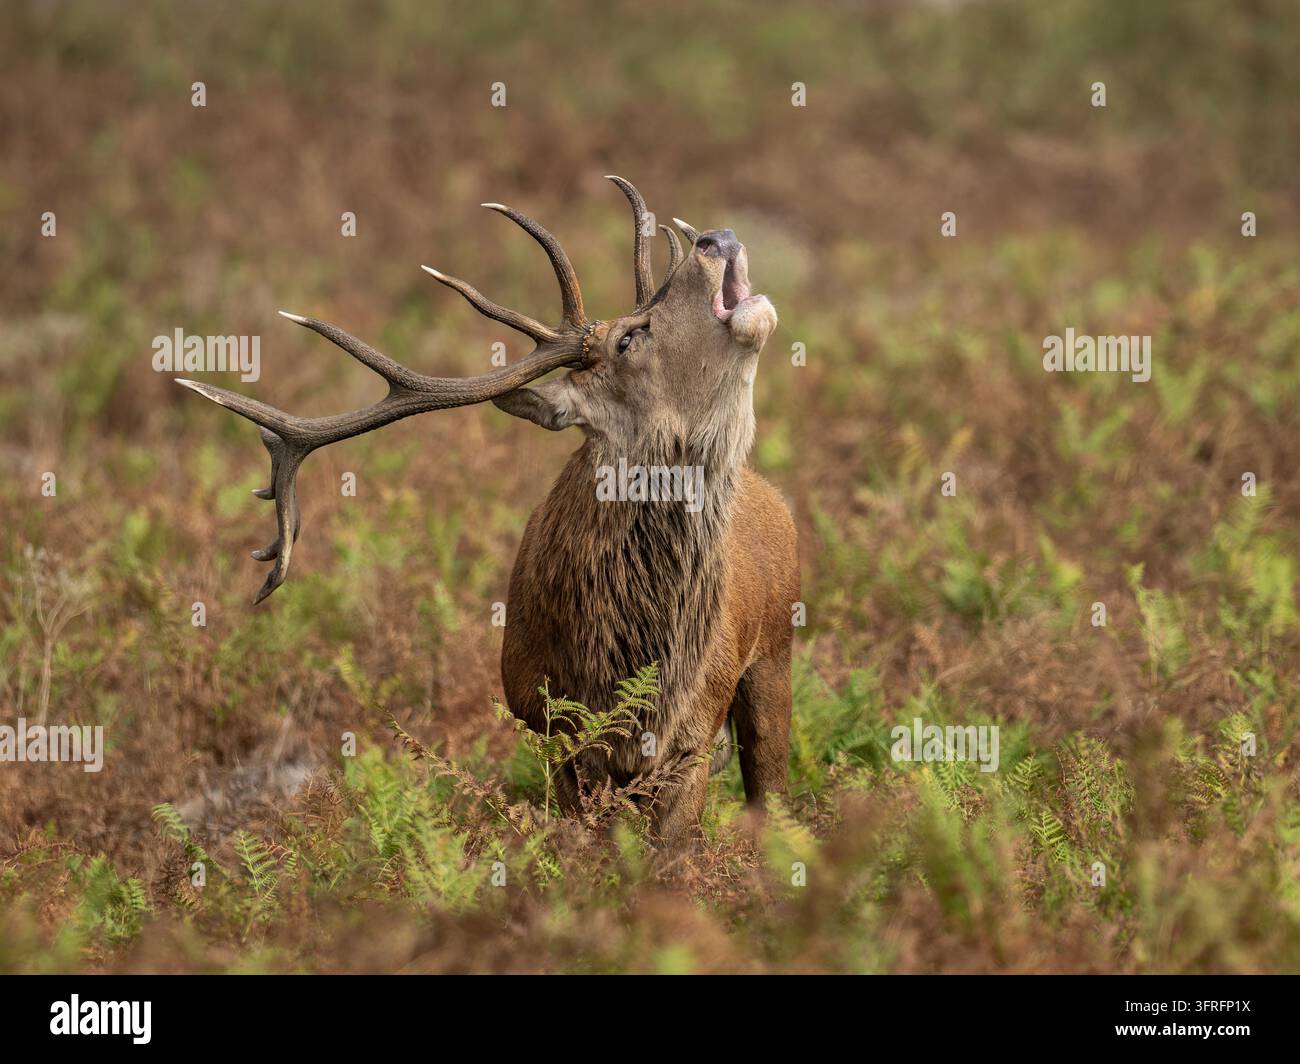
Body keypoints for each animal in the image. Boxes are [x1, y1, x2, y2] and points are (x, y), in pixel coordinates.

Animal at [181, 178, 798, 844]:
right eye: (629, 338)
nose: (715, 237)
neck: (619, 668)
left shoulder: (693, 737)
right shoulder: (545, 724)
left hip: (775, 658)